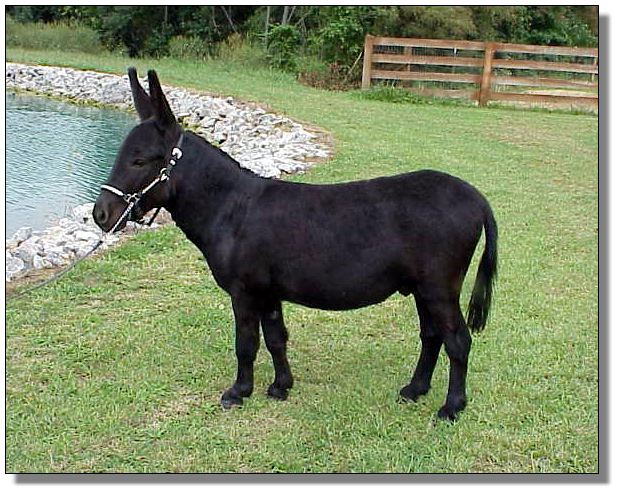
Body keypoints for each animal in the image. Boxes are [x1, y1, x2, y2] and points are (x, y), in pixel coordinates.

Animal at [93, 68, 498, 420]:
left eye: (139, 160)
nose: (99, 215)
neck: (229, 208)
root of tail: (476, 197)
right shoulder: (269, 293)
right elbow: (276, 338)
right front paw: (280, 387)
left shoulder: (244, 292)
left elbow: (246, 343)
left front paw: (238, 392)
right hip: (421, 288)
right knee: (431, 336)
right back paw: (415, 390)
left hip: (439, 288)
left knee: (457, 341)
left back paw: (451, 407)